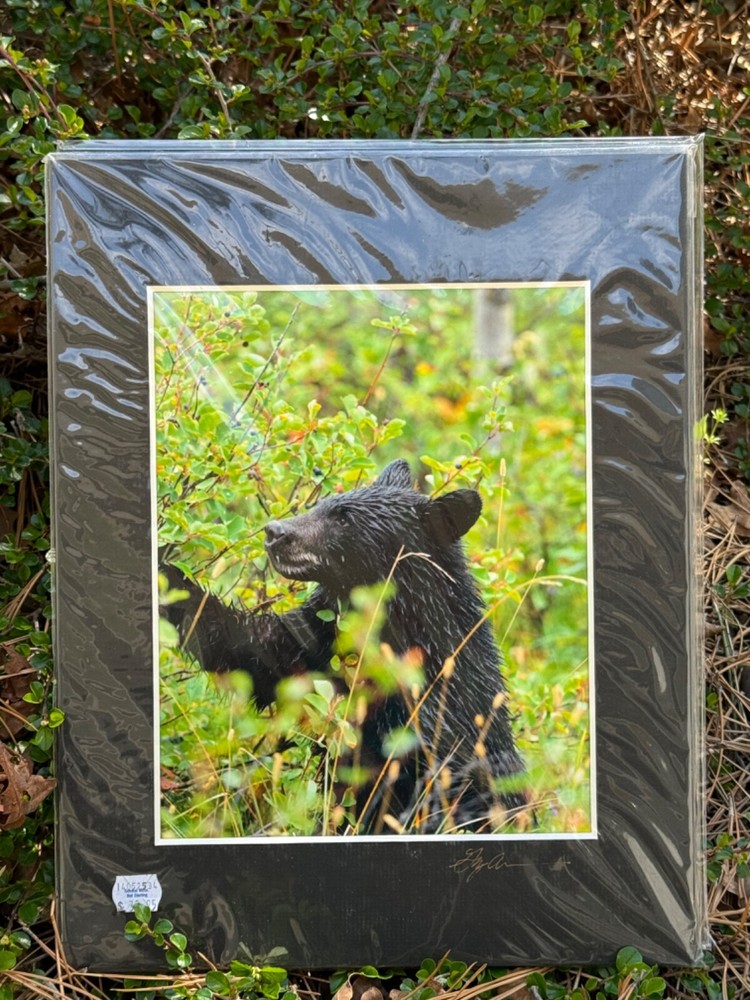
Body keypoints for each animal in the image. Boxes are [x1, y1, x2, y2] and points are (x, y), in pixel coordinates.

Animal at [160, 459, 528, 834]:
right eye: (322, 503)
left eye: (343, 518)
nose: (275, 531)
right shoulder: (320, 643)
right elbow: (252, 651)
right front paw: (168, 575)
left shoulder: (441, 711)